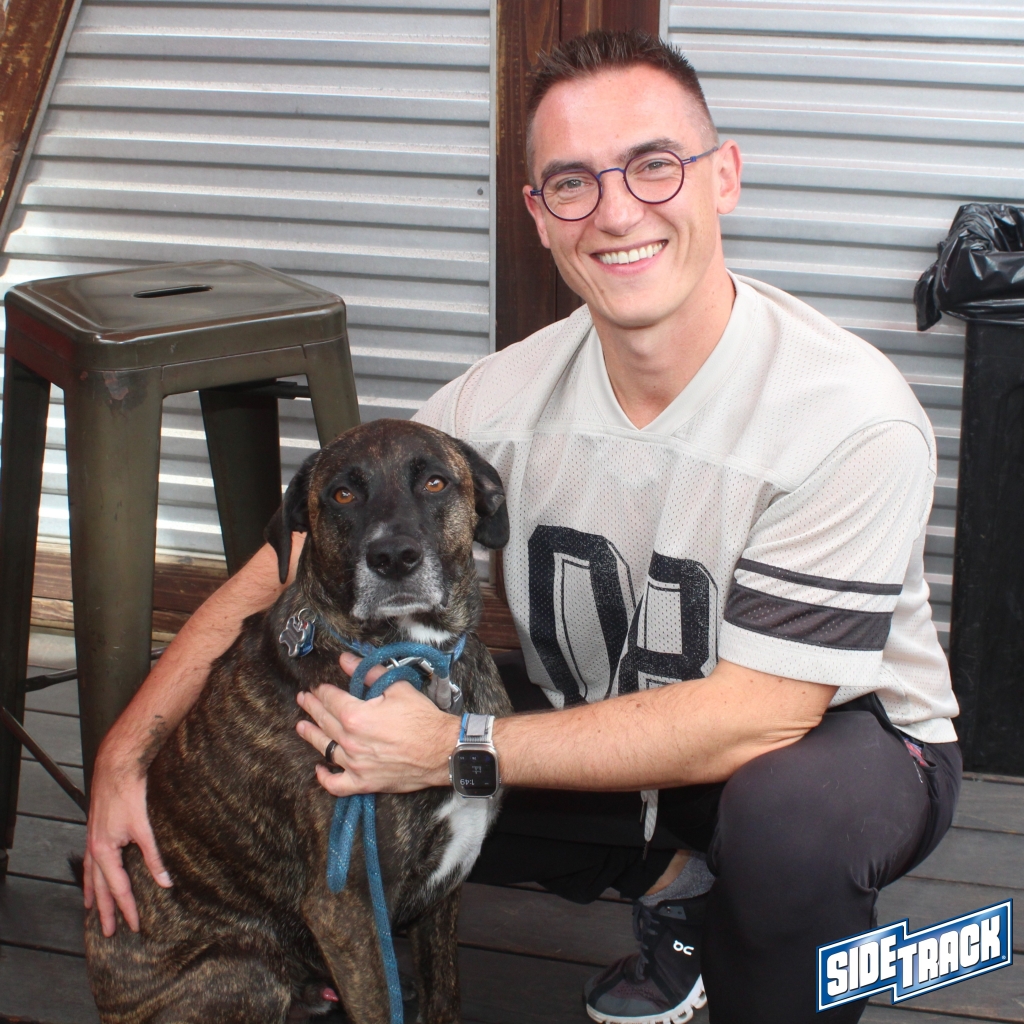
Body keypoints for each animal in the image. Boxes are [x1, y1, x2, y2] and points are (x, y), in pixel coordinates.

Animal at [84, 419, 514, 1024]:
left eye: (435, 482)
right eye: (342, 494)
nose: (393, 556)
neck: (413, 656)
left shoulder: (444, 892)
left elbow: (444, 995)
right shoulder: (348, 910)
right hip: (245, 973)